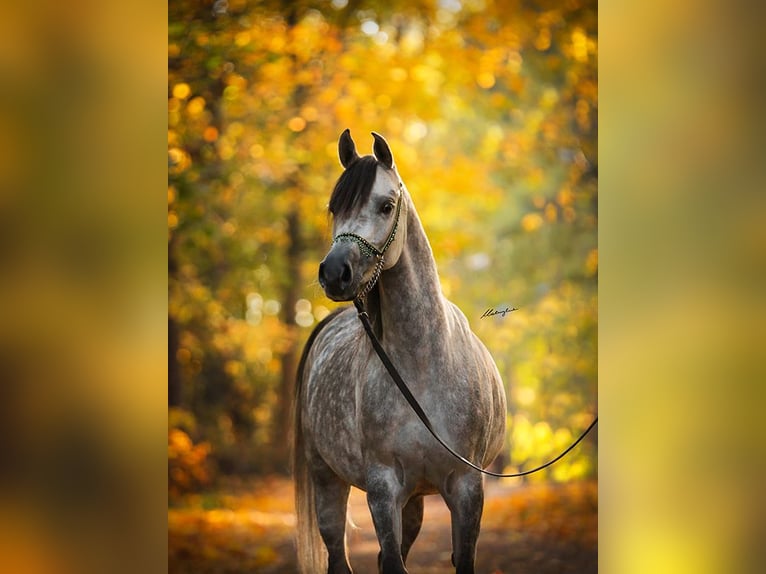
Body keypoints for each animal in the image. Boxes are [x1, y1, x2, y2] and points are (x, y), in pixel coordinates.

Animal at [293, 129, 507, 574]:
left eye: (386, 206)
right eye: (334, 207)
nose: (333, 273)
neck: (422, 366)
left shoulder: (467, 489)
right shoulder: (383, 488)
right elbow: (391, 560)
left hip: (414, 499)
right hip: (327, 481)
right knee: (337, 554)